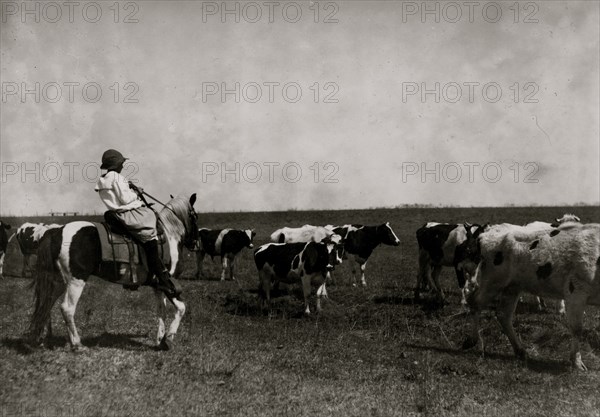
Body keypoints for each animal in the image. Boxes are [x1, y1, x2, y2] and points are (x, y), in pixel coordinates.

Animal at [28, 193, 198, 350]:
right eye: (194, 216)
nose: (195, 243)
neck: (169, 235)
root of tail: (56, 232)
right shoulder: (169, 285)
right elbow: (181, 308)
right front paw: (168, 340)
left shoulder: (158, 287)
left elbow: (161, 311)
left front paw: (160, 340)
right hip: (76, 281)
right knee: (67, 308)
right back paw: (77, 344)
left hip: (58, 281)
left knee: (46, 303)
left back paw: (41, 339)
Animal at [458, 221, 596, 370]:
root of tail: (486, 234)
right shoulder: (576, 293)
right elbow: (577, 329)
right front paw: (577, 362)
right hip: (492, 283)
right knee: (475, 302)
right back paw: (472, 340)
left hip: (511, 287)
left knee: (503, 314)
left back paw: (520, 351)